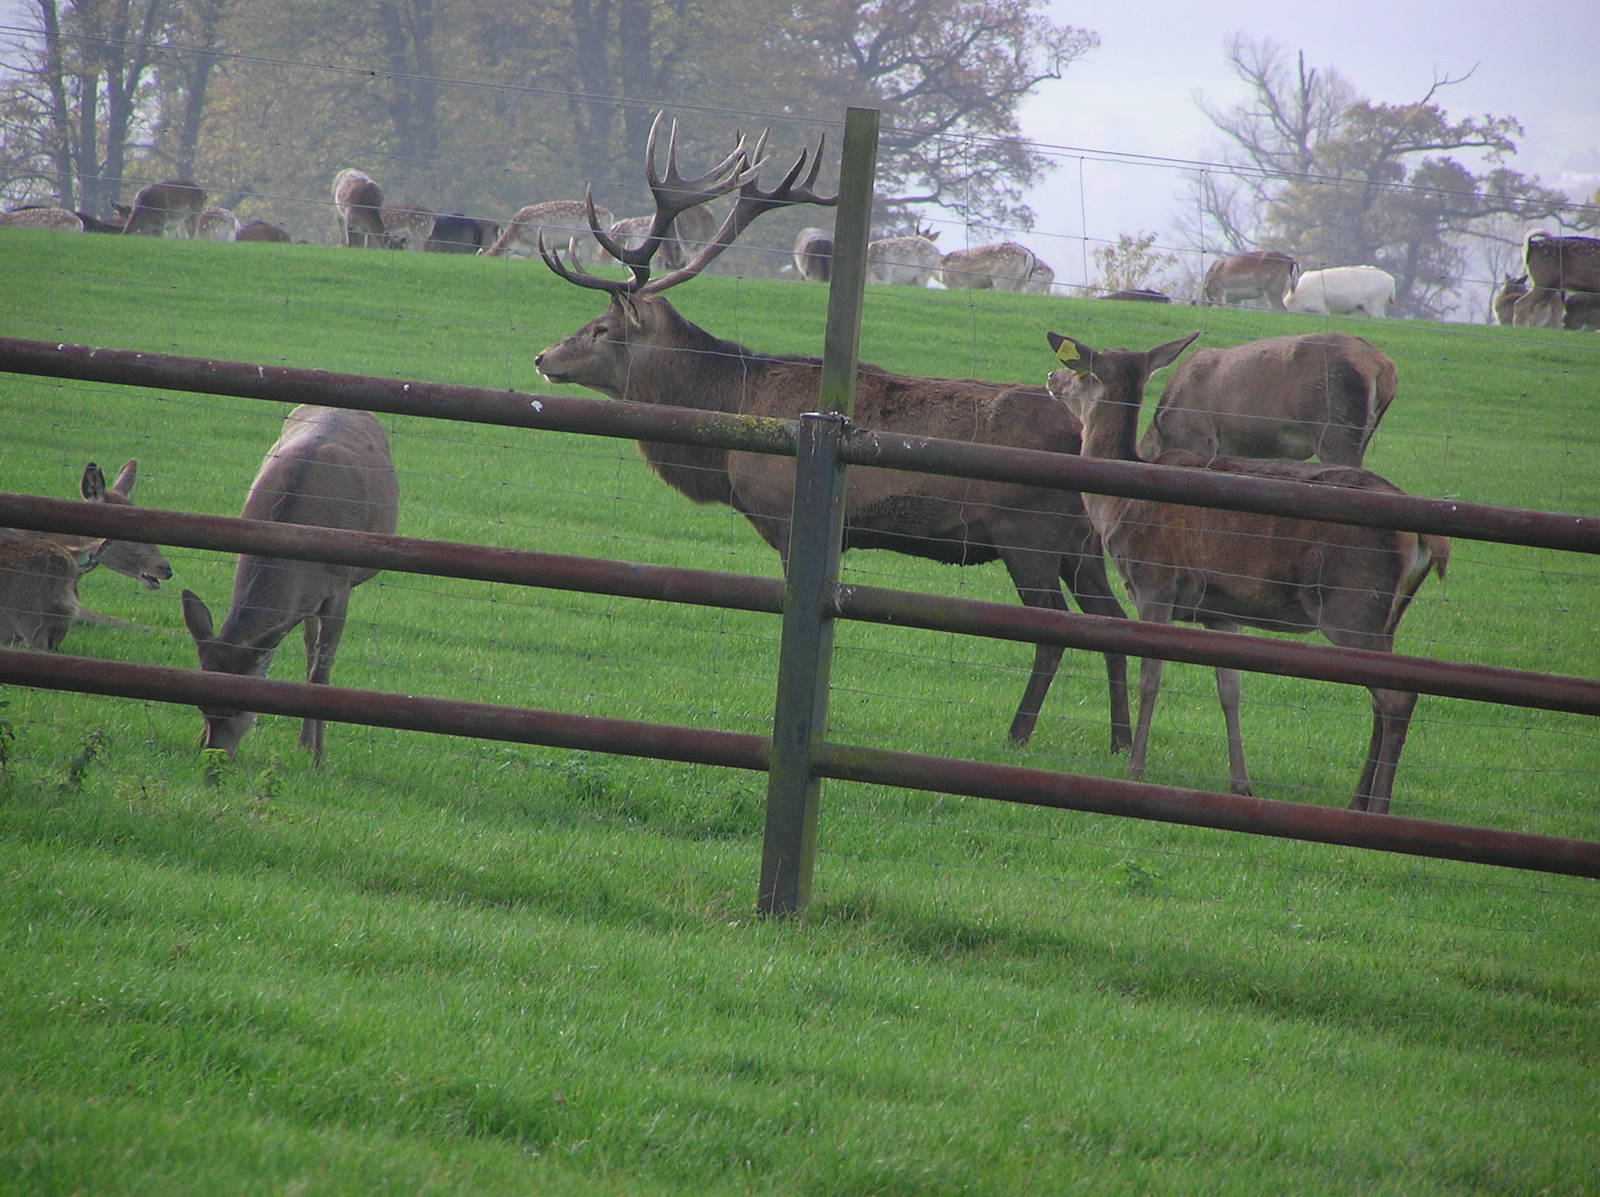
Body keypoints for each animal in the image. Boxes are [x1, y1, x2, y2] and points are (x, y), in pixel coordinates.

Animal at [180, 405, 399, 762]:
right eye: (199, 704)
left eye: (240, 707)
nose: (214, 755)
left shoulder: (340, 587)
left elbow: (322, 671)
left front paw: (318, 756)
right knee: (308, 642)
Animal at [532, 113, 1135, 753]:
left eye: (600, 328)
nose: (543, 357)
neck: (728, 417)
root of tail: (1084, 436)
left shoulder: (785, 514)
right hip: (1080, 541)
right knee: (1113, 622)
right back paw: (1121, 743)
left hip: (1029, 530)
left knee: (1054, 628)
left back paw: (1018, 734)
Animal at [1043, 330, 1449, 813]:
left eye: (1081, 370)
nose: (1051, 377)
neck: (1116, 507)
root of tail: (1426, 538)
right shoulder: (1220, 608)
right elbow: (1230, 691)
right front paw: (1241, 783)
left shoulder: (1154, 583)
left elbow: (1152, 678)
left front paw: (1135, 768)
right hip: (1386, 614)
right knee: (1382, 698)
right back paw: (1355, 801)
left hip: (1352, 602)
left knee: (1397, 696)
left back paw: (1379, 806)